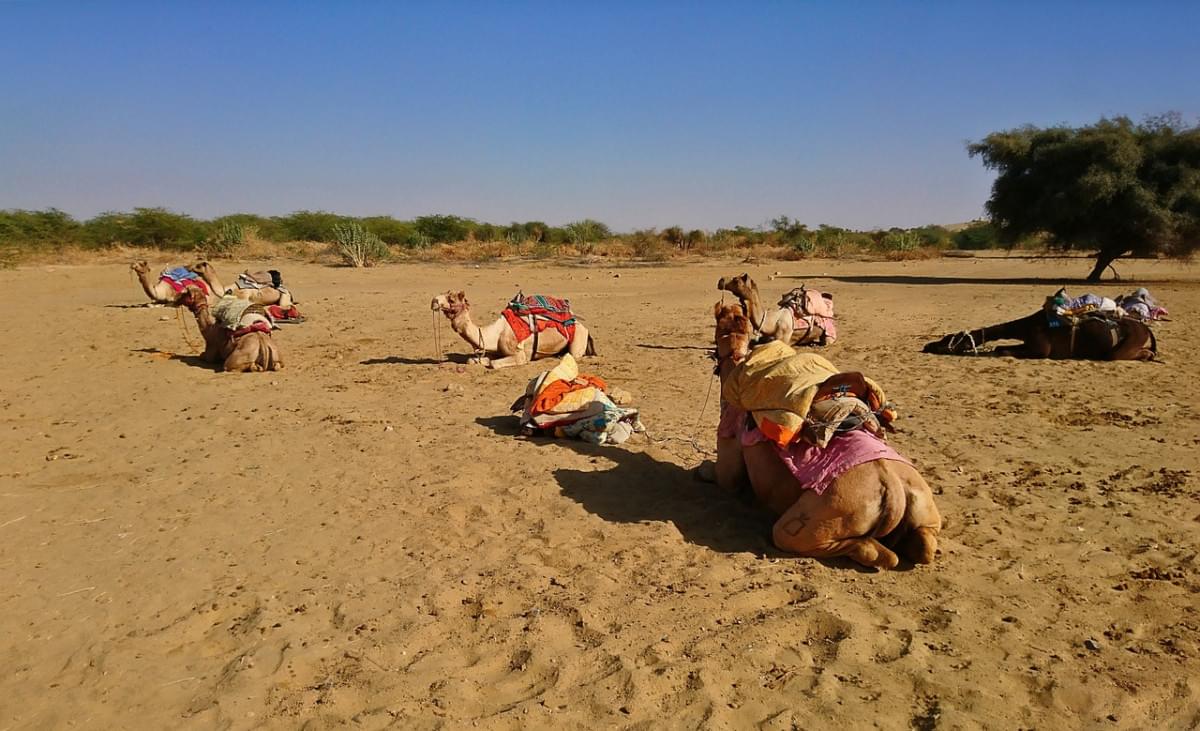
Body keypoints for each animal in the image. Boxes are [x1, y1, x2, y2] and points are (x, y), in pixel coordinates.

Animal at [434, 289, 597, 367]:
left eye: (451, 299)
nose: (434, 300)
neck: (494, 334)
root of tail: (584, 327)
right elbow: (472, 360)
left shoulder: (520, 355)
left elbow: (494, 364)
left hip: (577, 340)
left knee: (574, 354)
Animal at [700, 302, 940, 571]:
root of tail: (895, 494)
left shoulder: (729, 444)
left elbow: (722, 476)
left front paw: (704, 468)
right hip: (924, 504)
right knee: (924, 546)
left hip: (820, 516)